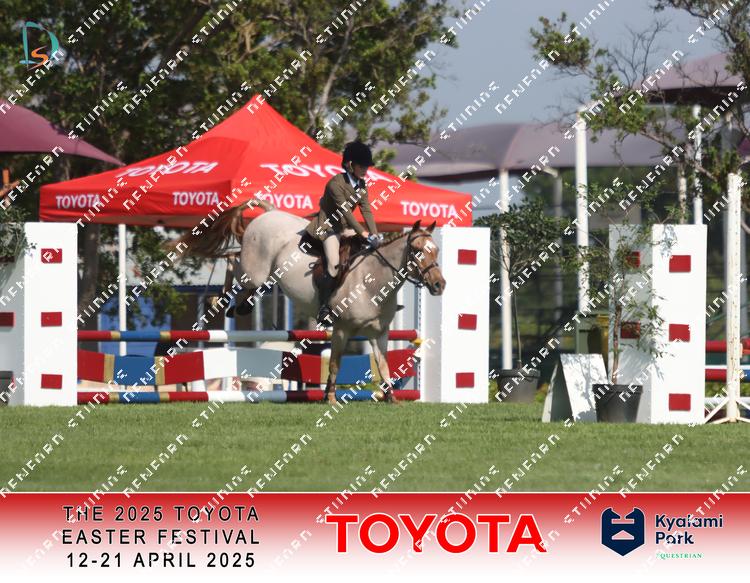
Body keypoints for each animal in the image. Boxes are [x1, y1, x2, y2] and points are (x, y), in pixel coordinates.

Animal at [174, 201, 446, 403]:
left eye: (436, 251)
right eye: (418, 251)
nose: (439, 285)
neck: (372, 280)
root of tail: (269, 213)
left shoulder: (379, 332)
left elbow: (383, 365)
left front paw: (391, 398)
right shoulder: (342, 328)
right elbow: (334, 363)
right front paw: (330, 398)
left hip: (263, 276)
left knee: (241, 274)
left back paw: (238, 305)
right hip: (254, 271)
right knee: (233, 260)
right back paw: (218, 299)